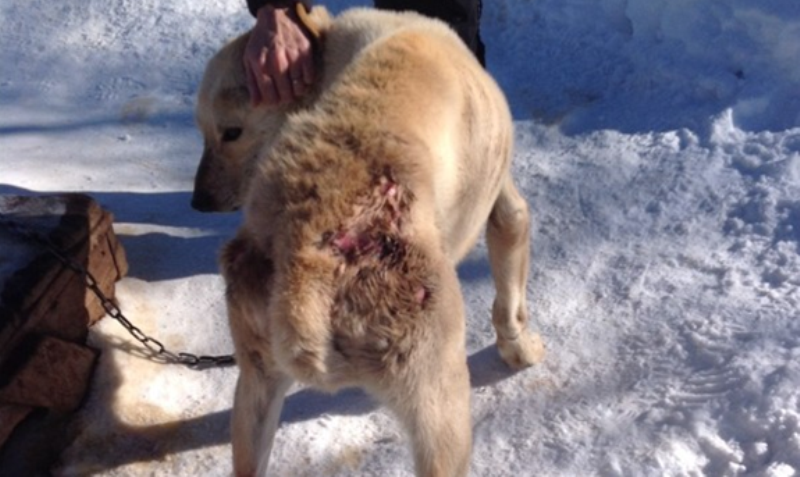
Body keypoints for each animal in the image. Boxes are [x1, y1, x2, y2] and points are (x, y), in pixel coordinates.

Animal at [192, 4, 544, 476]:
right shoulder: (501, 198)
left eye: (229, 132)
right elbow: (510, 257)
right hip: (435, 386)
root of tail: (303, 280)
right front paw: (521, 349)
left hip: (254, 375)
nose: (198, 201)